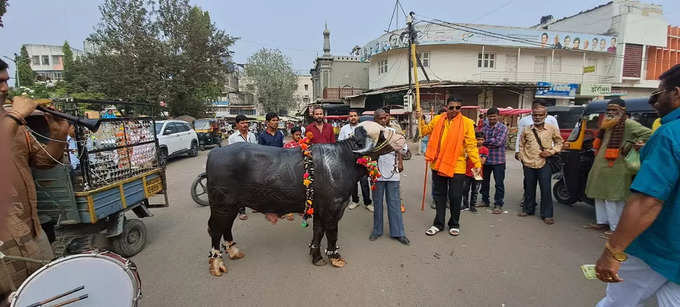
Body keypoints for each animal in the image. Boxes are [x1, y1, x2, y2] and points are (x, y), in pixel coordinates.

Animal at [202, 121, 404, 276]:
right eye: (383, 132)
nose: (402, 138)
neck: (345, 159)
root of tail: (214, 153)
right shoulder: (333, 208)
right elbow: (332, 233)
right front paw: (335, 257)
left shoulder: (320, 209)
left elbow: (318, 232)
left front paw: (316, 257)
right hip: (221, 205)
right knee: (215, 229)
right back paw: (217, 264)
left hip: (231, 206)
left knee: (226, 227)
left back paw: (234, 251)